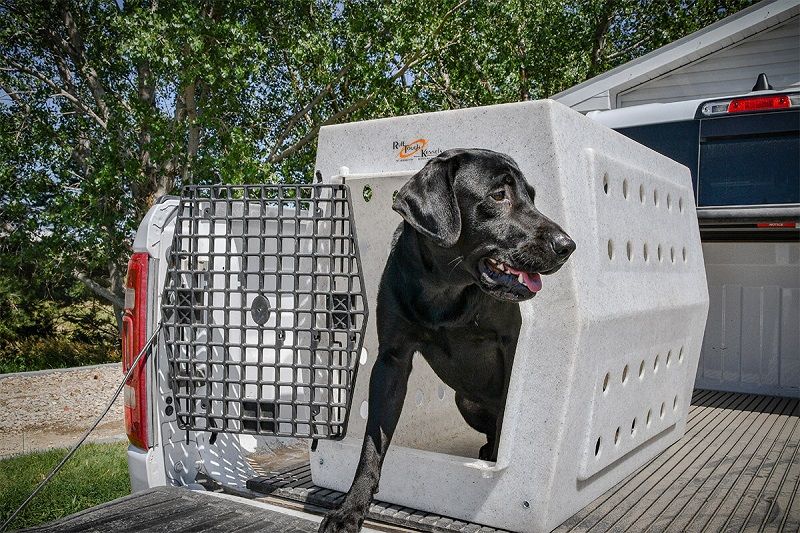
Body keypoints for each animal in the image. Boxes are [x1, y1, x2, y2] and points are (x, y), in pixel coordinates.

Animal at [318, 148, 576, 528]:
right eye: (498, 195)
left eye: (531, 196)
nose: (567, 246)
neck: (444, 285)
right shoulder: (392, 361)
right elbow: (372, 444)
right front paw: (351, 508)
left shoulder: (509, 348)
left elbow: (505, 421)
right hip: (464, 401)